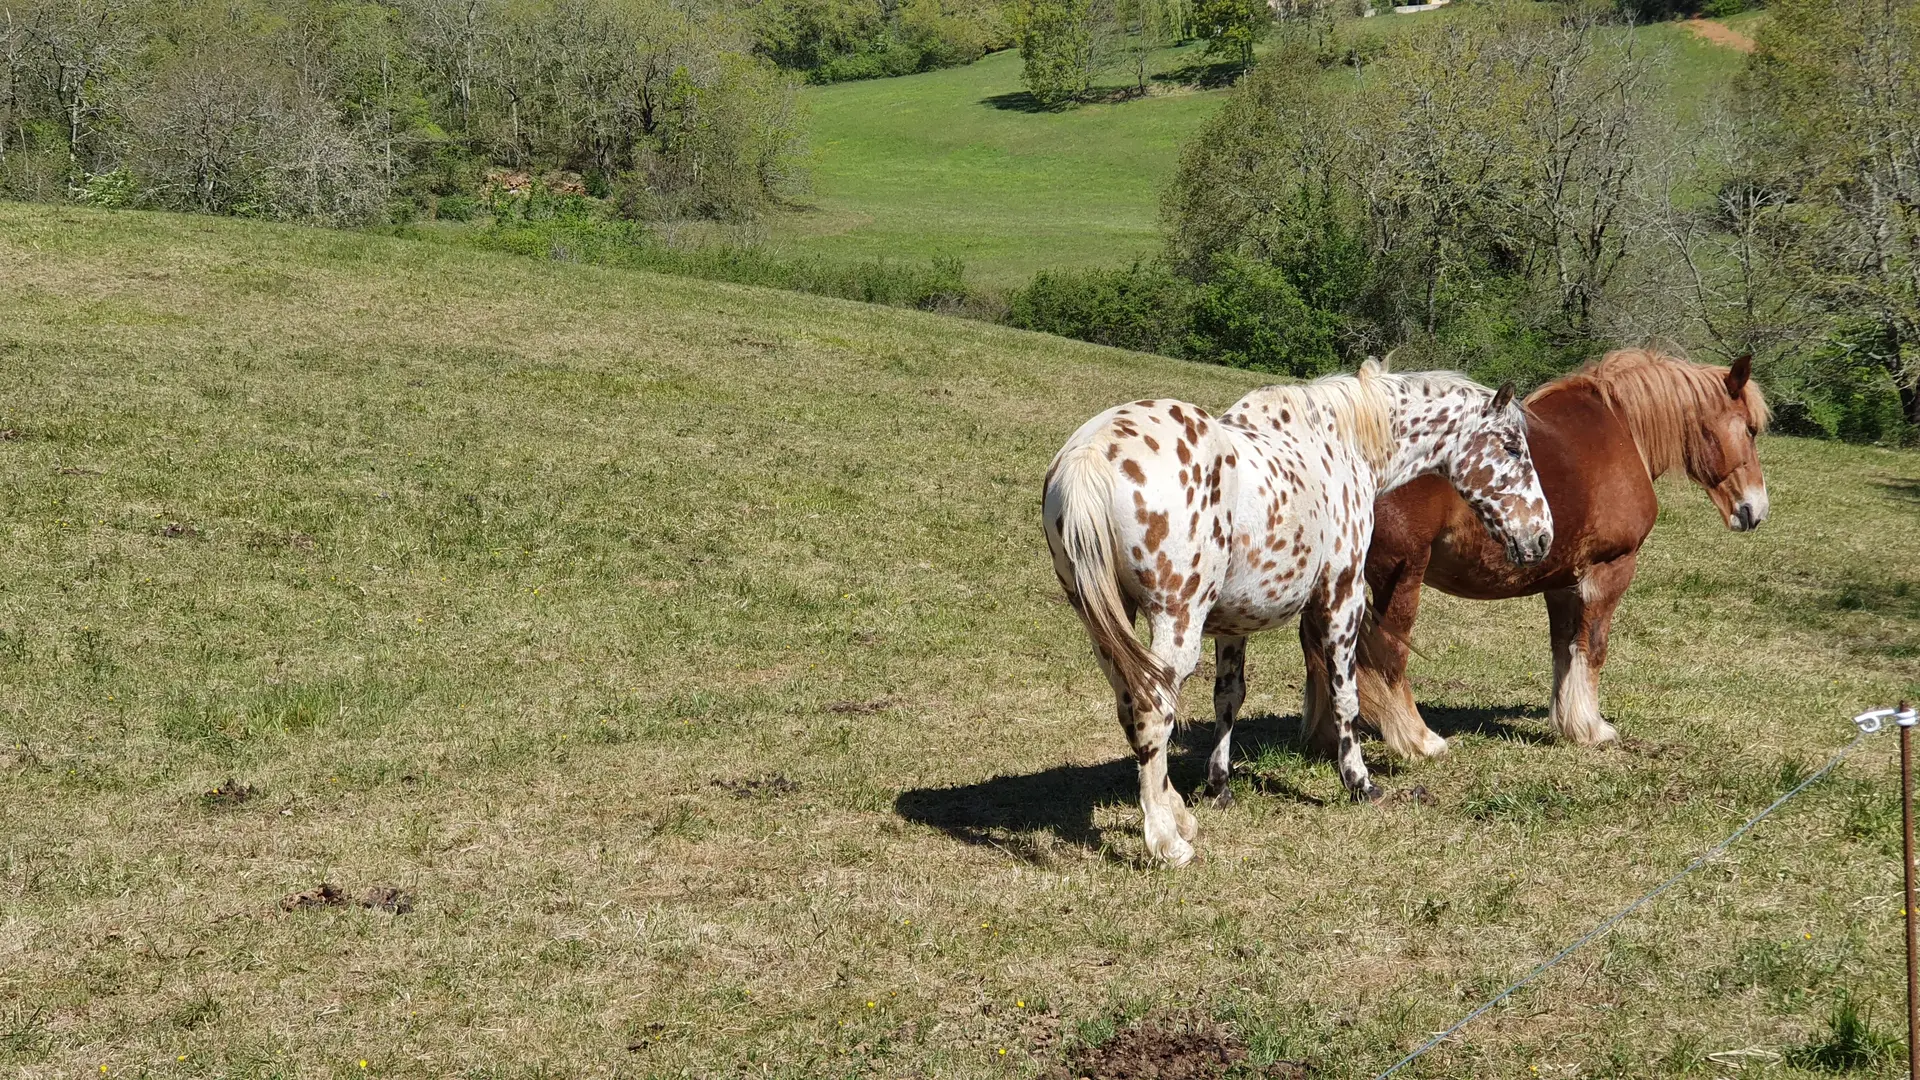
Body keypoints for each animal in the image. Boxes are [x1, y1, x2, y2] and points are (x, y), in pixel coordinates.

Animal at [1044, 361, 1551, 864]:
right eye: (1512, 448)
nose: (1543, 536)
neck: (1341, 446)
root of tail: (1091, 453)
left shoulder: (1233, 621)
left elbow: (1228, 698)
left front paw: (1219, 786)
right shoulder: (1343, 596)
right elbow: (1346, 697)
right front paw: (1360, 783)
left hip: (1106, 628)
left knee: (1132, 708)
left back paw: (1179, 812)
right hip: (1175, 622)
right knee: (1153, 710)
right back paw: (1168, 840)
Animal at [1320, 345, 1766, 757]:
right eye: (1750, 430)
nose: (1755, 509)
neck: (1623, 431)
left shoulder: (1562, 582)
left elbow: (1565, 649)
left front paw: (1569, 721)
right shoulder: (1610, 571)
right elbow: (1593, 648)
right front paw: (1592, 728)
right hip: (1401, 577)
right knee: (1387, 654)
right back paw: (1417, 739)